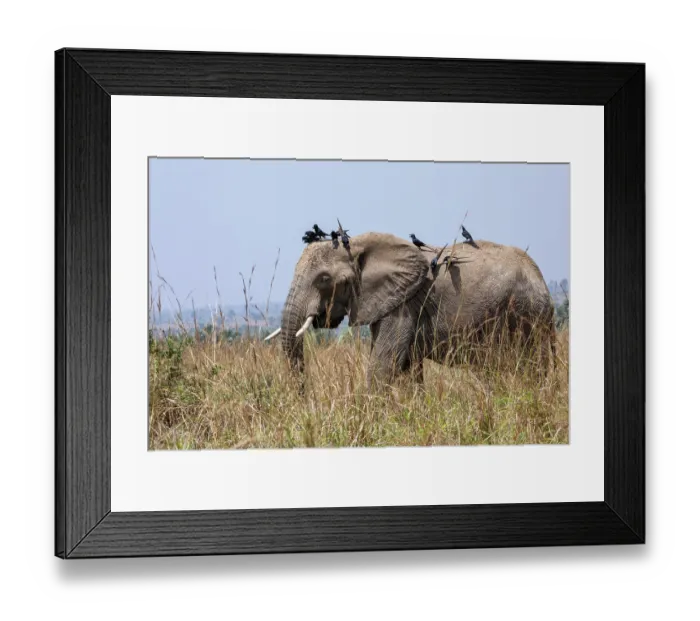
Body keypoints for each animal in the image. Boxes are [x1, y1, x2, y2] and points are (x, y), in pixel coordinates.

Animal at [267, 232, 556, 385]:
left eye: (324, 279)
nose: (305, 398)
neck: (358, 244)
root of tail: (542, 280)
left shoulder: (404, 304)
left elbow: (383, 364)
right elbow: (406, 367)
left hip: (526, 314)